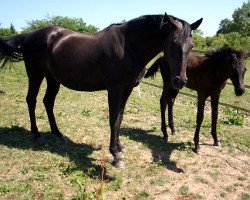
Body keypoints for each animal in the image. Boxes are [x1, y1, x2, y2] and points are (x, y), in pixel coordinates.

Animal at [0, 14, 202, 167]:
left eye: (191, 46)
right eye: (173, 43)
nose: (180, 81)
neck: (129, 47)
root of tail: (29, 36)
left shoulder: (127, 90)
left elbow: (120, 118)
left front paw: (120, 147)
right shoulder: (114, 90)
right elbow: (113, 120)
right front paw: (115, 155)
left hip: (53, 79)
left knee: (48, 102)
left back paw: (59, 134)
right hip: (36, 75)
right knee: (31, 100)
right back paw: (37, 135)